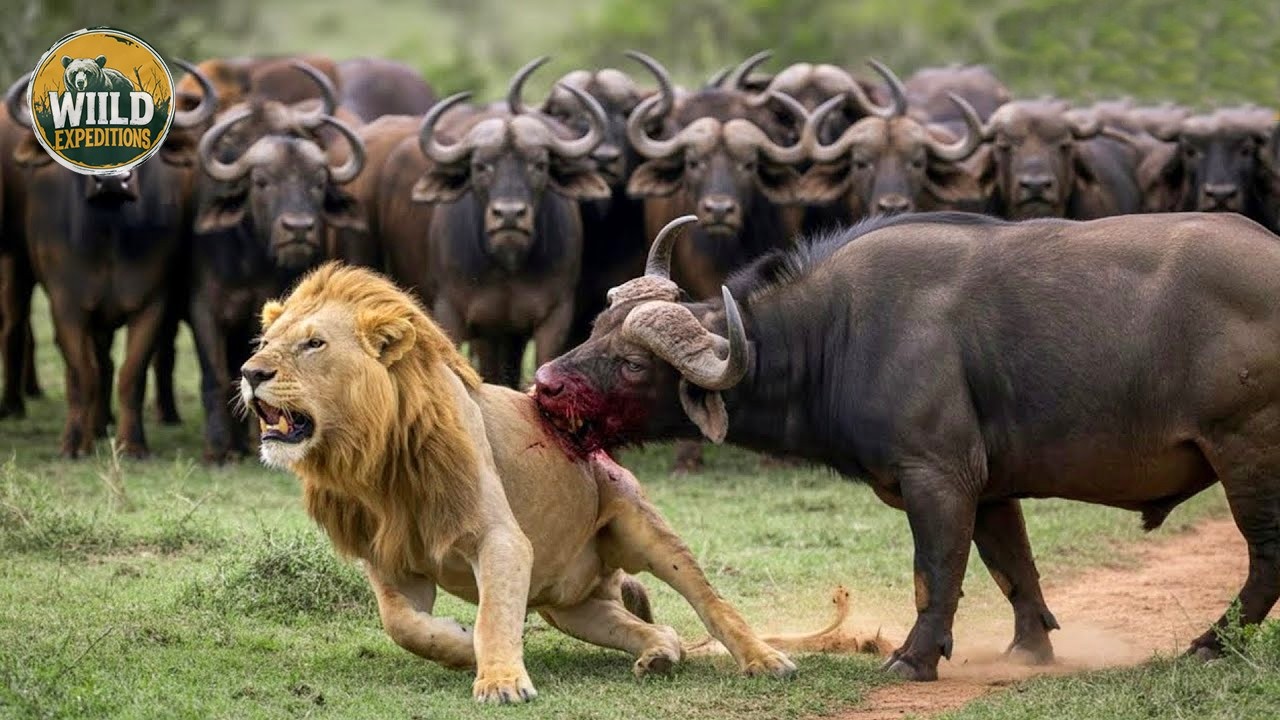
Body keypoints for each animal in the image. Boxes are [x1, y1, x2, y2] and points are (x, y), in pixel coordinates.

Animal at [239, 262, 872, 703]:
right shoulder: (390, 561)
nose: (250, 372)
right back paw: (659, 656)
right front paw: (460, 644)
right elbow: (404, 625)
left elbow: (493, 614)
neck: (374, 458)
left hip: (642, 527)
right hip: (570, 607)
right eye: (266, 343)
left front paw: (498, 681)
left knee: (711, 602)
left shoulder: (499, 538)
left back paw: (764, 660)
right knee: (656, 627)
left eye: (314, 343)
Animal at [535, 210, 1280, 682]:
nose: (544, 384)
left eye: (634, 364)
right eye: (596, 328)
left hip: (1248, 455)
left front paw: (915, 658)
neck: (838, 332)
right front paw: (1027, 651)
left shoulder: (938, 477)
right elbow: (1015, 570)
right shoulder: (989, 489)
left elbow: (935, 573)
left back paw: (1212, 646)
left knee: (1264, 559)